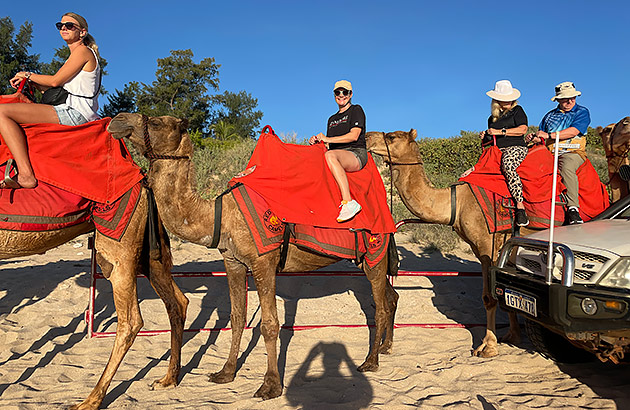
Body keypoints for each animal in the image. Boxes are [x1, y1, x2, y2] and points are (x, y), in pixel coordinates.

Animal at [0, 187, 189, 410]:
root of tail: (143, 185)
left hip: (118, 246)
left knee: (130, 322)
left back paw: (90, 400)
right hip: (146, 251)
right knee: (177, 302)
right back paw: (168, 379)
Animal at [105, 112, 400, 400]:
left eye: (155, 122)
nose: (117, 120)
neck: (220, 216)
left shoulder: (263, 261)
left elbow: (269, 324)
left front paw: (270, 386)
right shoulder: (233, 262)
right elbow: (237, 318)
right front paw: (225, 373)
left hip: (375, 248)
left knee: (379, 306)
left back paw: (370, 362)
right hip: (370, 258)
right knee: (390, 296)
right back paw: (385, 348)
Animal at [366, 130, 524, 358]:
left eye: (392, 137)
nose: (367, 137)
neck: (456, 203)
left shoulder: (488, 243)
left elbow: (490, 296)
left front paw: (488, 348)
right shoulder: (484, 248)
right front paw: (512, 337)